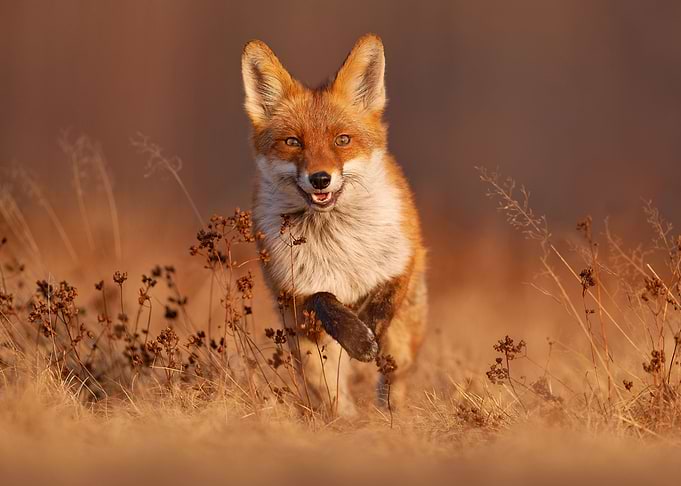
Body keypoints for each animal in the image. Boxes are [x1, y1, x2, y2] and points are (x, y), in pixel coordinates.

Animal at [241, 34, 427, 415]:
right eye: (293, 142)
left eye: (342, 140)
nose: (320, 179)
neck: (339, 242)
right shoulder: (294, 290)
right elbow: (324, 299)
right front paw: (357, 337)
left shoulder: (404, 257)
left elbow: (383, 301)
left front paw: (367, 333)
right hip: (308, 354)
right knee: (333, 395)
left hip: (405, 341)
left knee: (393, 382)